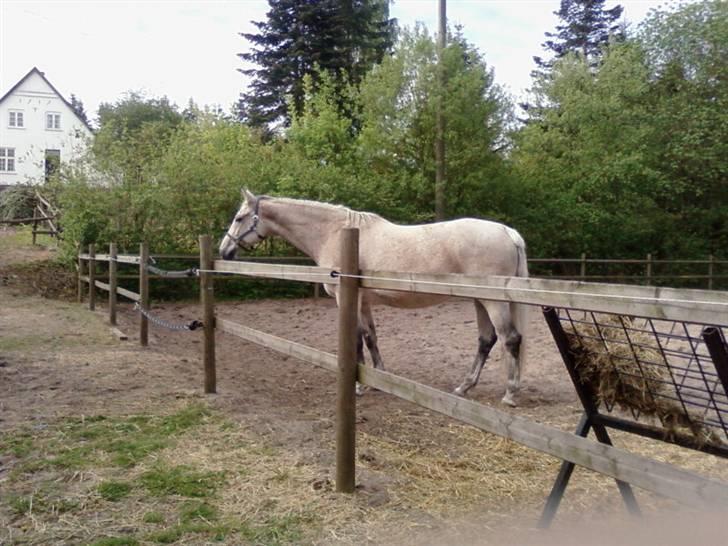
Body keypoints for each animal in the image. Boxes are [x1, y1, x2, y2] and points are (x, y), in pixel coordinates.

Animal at [218, 189, 528, 402]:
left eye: (239, 218)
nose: (224, 251)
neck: (335, 233)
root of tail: (508, 232)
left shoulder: (347, 298)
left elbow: (355, 339)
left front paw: (359, 385)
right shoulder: (364, 300)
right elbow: (370, 337)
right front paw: (380, 376)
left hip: (493, 302)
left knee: (509, 338)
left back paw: (510, 394)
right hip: (479, 300)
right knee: (486, 340)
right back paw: (465, 386)